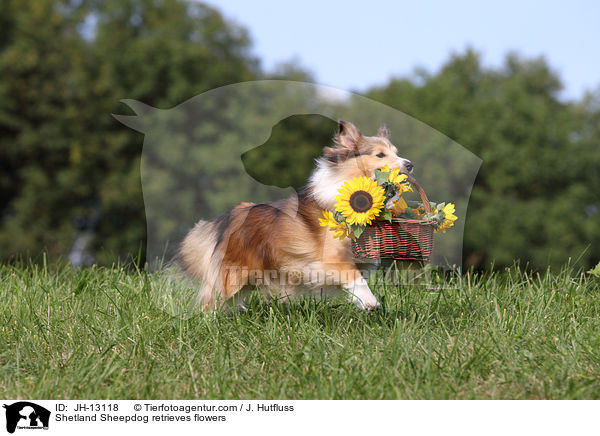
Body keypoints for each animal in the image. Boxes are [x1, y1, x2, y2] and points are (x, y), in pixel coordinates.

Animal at [178, 121, 412, 312]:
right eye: (380, 155)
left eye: (396, 152)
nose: (410, 164)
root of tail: (232, 215)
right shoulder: (330, 258)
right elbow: (354, 277)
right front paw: (371, 302)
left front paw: (362, 302)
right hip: (235, 274)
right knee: (212, 301)